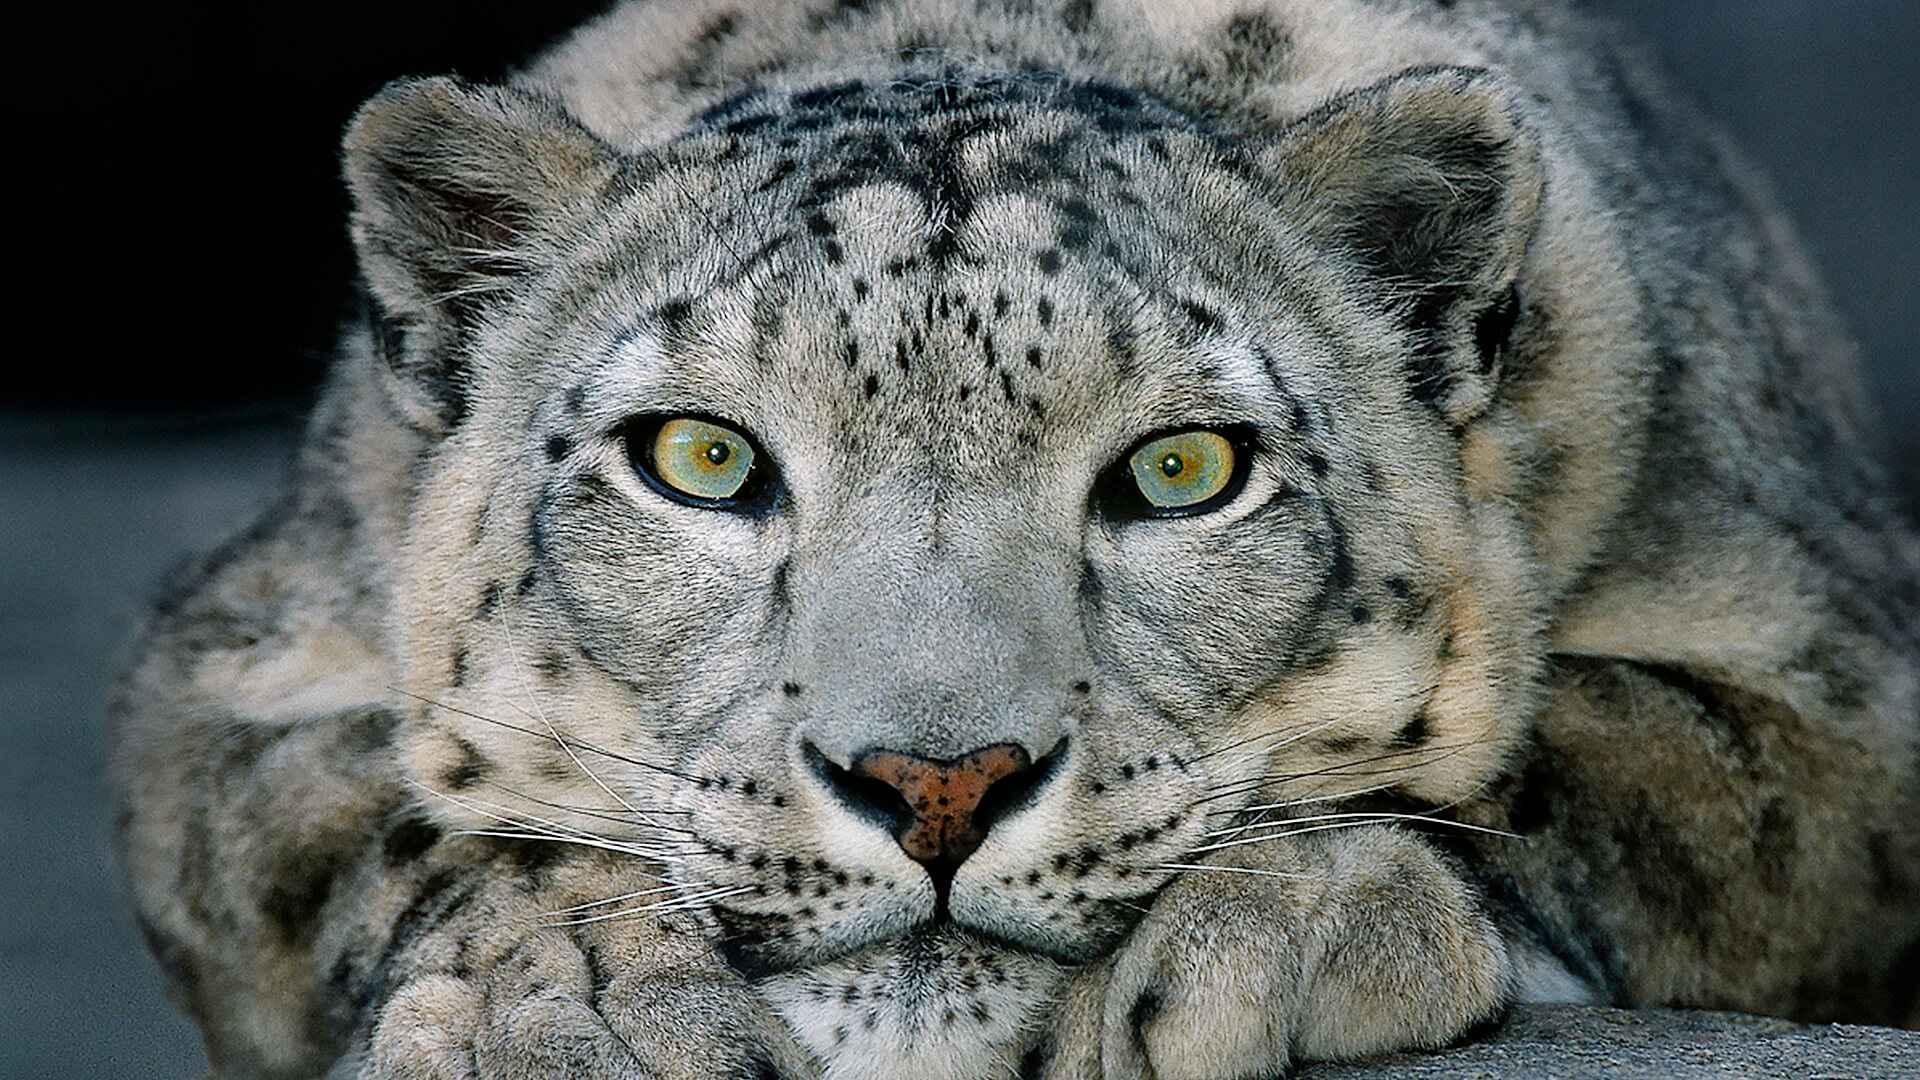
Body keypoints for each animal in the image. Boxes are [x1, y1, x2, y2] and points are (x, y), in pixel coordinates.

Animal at [111, 1, 1920, 1078]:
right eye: (701, 456)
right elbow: (403, 817)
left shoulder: (1828, 687)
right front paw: (564, 998)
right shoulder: (235, 674)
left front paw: (1264, 937)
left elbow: (1565, 761)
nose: (937, 784)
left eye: (1184, 470)